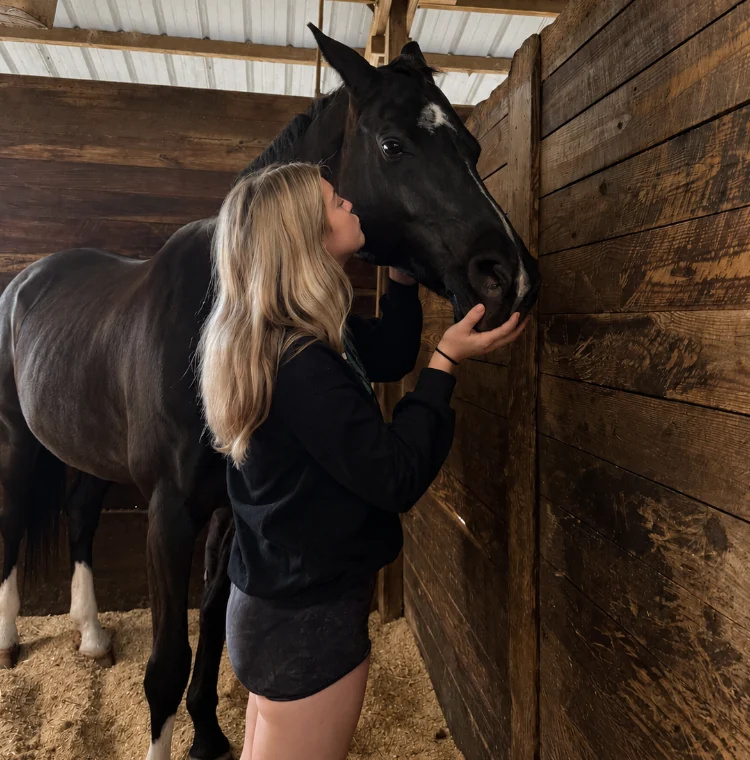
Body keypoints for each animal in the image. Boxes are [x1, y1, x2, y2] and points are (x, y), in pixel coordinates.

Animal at [0, 25, 540, 760]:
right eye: (393, 144)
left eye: (473, 147)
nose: (510, 277)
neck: (215, 321)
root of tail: (26, 281)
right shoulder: (170, 513)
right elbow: (167, 661)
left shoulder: (233, 512)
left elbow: (217, 624)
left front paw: (207, 732)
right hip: (18, 440)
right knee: (14, 519)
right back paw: (8, 641)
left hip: (87, 452)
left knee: (80, 516)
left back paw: (90, 635)